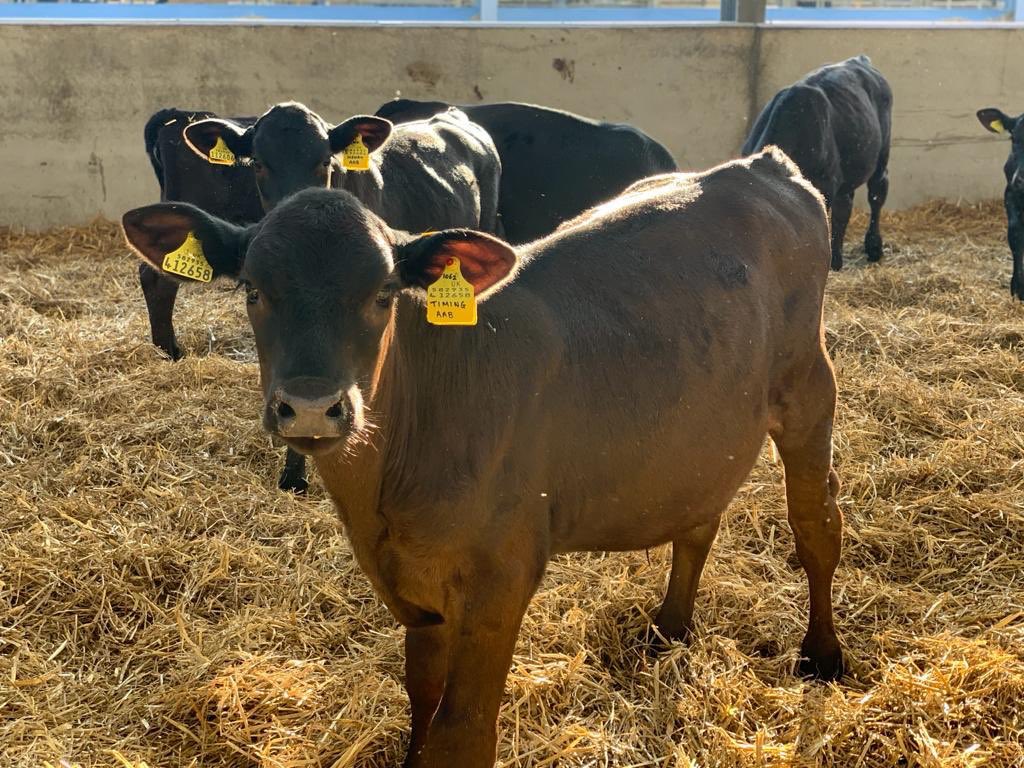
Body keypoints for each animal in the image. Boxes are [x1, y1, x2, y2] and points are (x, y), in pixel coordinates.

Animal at [121, 148, 844, 768]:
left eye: (383, 293)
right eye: (251, 288)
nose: (309, 405)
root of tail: (756, 165)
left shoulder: (503, 576)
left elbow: (463, 734)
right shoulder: (415, 591)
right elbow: (421, 699)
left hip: (810, 386)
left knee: (816, 527)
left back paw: (823, 654)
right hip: (702, 430)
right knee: (699, 518)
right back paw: (669, 628)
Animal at [742, 55, 892, 270]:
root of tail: (858, 59)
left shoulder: (825, 185)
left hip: (881, 154)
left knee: (877, 192)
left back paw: (873, 248)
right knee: (845, 204)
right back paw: (837, 258)